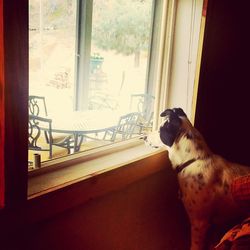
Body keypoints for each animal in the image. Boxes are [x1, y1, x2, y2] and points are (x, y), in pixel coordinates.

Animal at [145, 108, 250, 250]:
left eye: (160, 130)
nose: (143, 137)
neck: (193, 160)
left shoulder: (199, 223)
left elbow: (195, 245)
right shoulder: (210, 226)